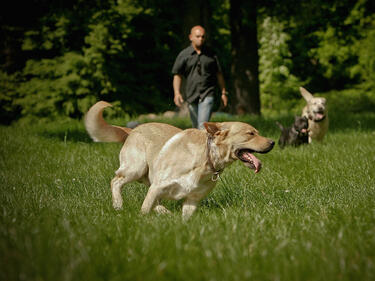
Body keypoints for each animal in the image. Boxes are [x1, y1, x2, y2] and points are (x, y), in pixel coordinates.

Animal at [84, 100, 276, 219]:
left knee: (154, 201)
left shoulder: (192, 199)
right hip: (136, 168)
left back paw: (165, 213)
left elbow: (184, 217)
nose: (273, 142)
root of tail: (132, 130)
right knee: (116, 181)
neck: (205, 159)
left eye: (257, 132)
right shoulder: (158, 186)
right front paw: (141, 220)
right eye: (250, 133)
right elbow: (145, 209)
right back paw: (118, 204)